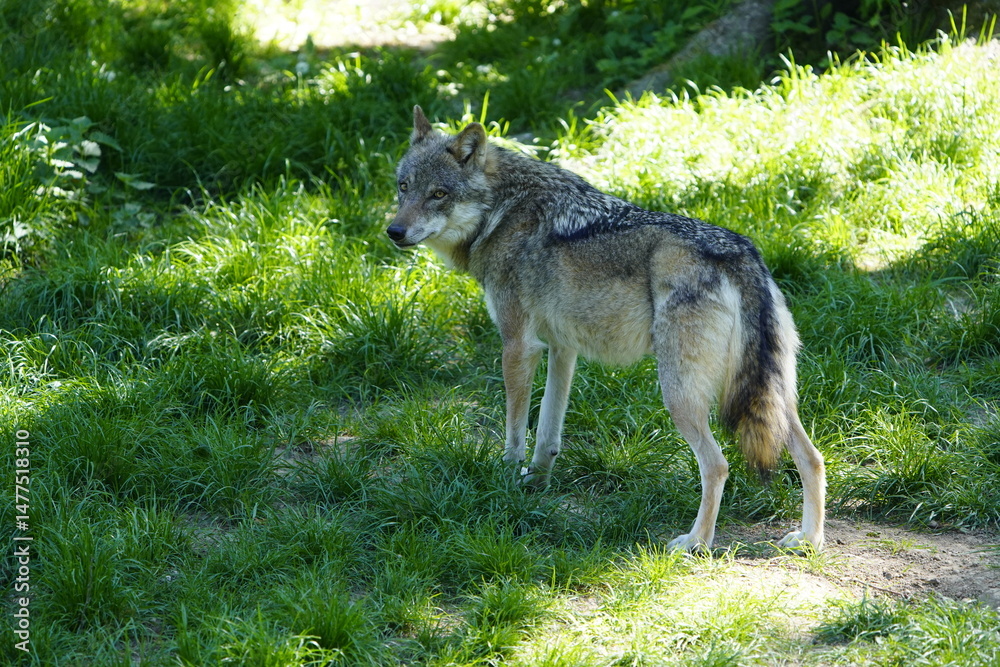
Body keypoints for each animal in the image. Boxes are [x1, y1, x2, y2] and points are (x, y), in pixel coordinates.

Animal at [387, 106, 825, 552]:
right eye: (404, 187)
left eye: (438, 194)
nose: (394, 232)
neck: (501, 210)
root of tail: (741, 253)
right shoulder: (562, 349)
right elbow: (547, 433)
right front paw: (535, 484)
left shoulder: (518, 345)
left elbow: (515, 431)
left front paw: (506, 480)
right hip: (771, 398)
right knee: (812, 457)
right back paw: (808, 538)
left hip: (679, 396)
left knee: (717, 465)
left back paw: (694, 543)